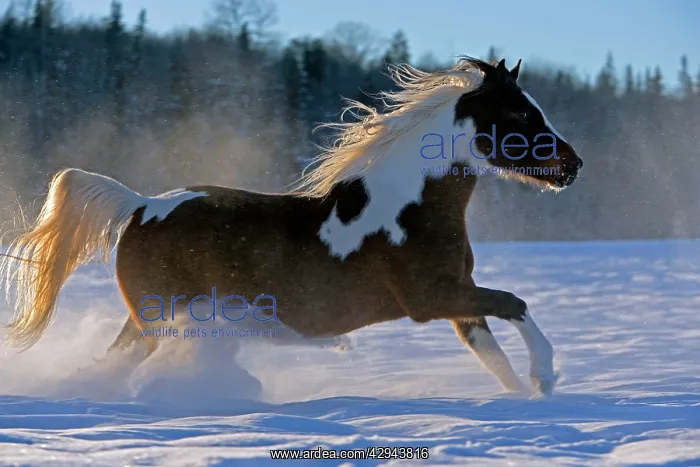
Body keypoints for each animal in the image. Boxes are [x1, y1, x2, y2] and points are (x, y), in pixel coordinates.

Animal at [1, 56, 582, 396]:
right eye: (521, 115)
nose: (573, 166)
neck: (410, 207)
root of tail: (140, 205)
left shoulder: (457, 298)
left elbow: (493, 355)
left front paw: (532, 397)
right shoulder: (430, 297)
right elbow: (515, 304)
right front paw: (547, 376)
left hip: (149, 319)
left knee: (114, 363)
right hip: (165, 314)